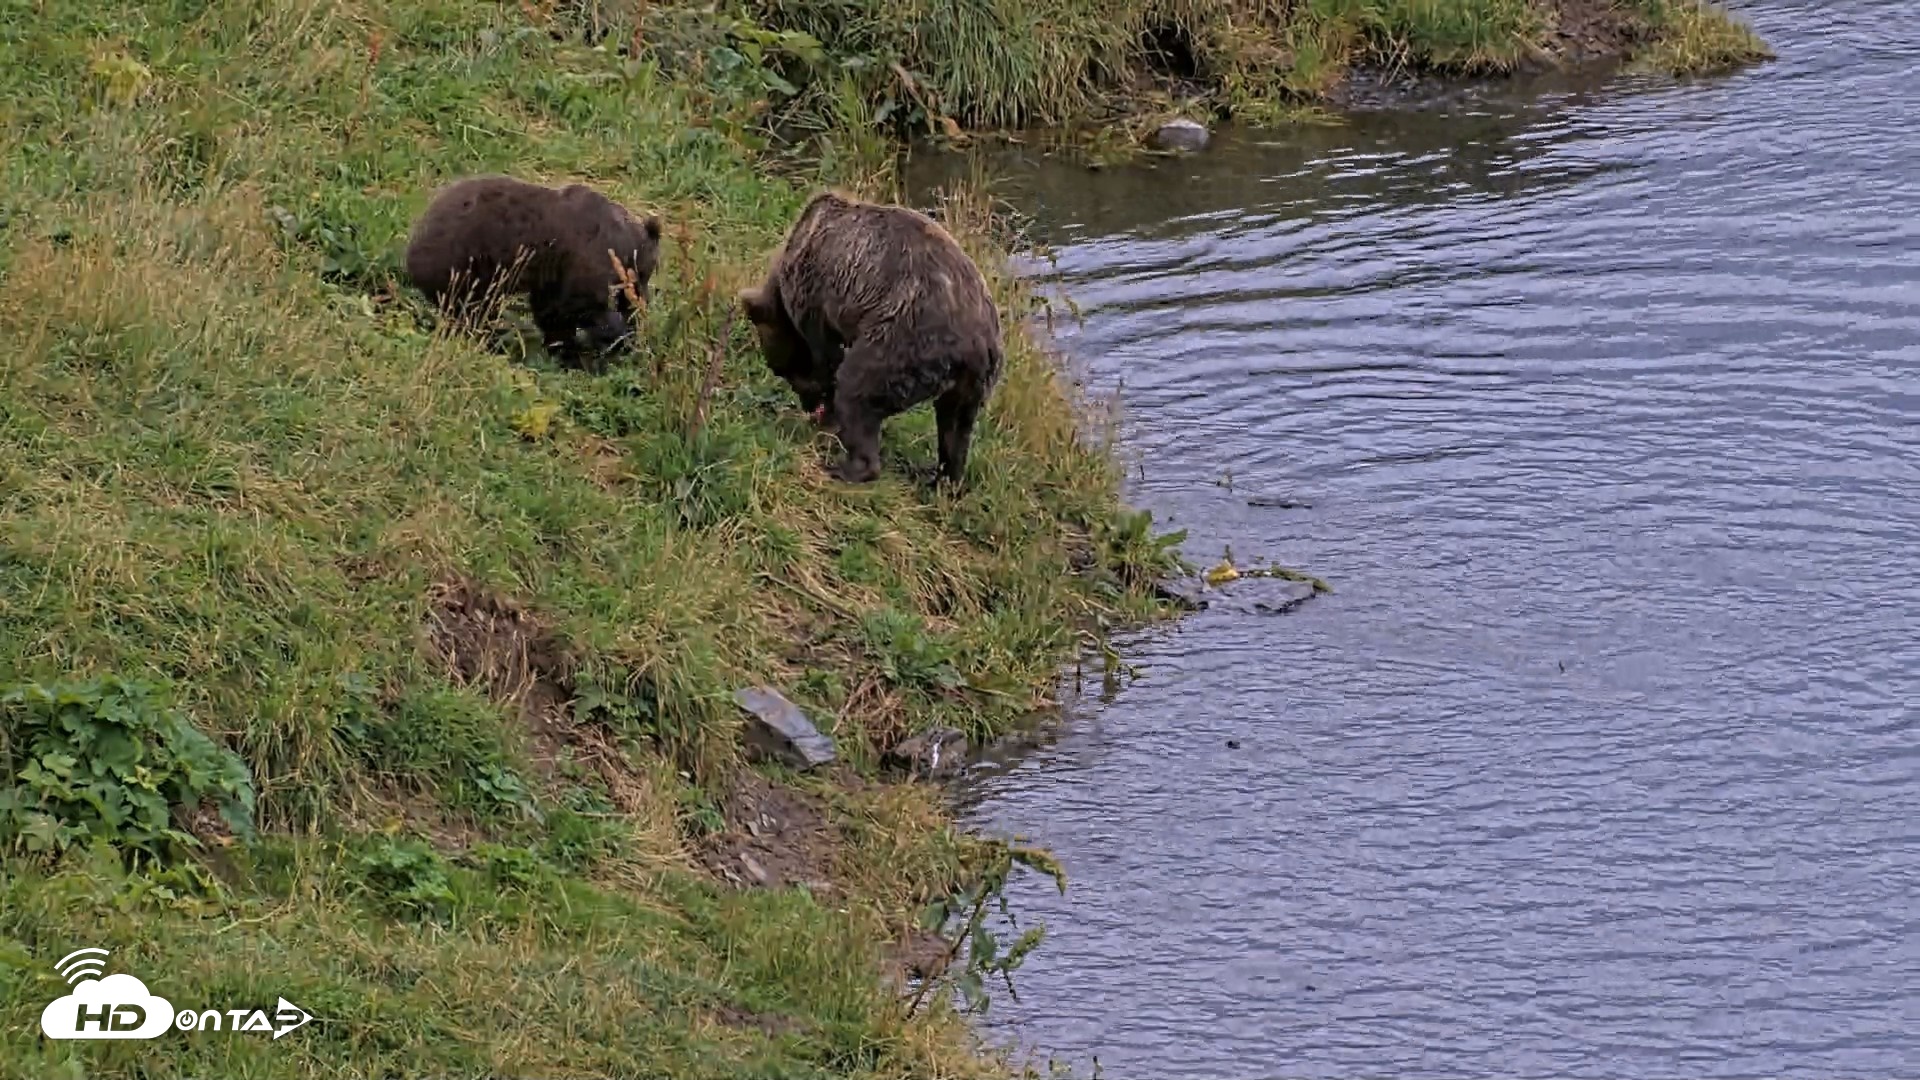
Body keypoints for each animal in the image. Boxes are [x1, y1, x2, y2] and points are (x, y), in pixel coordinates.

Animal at [403, 175, 662, 371]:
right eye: (646, 273)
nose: (642, 301)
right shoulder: (583, 258)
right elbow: (574, 307)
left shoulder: (553, 272)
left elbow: (551, 310)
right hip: (469, 263)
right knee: (473, 309)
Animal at [737, 190, 1004, 487]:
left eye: (783, 370)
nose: (807, 405)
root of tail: (978, 345)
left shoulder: (815, 297)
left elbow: (826, 357)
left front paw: (825, 414)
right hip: (973, 383)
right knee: (955, 426)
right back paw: (944, 481)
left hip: (901, 342)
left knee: (857, 389)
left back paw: (846, 467)